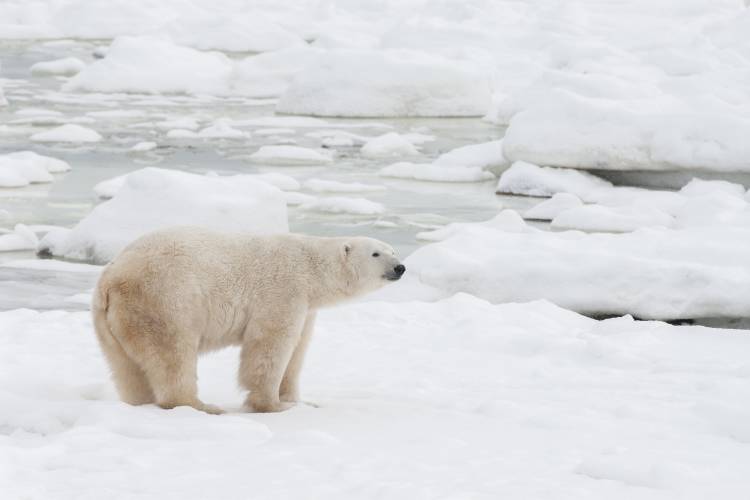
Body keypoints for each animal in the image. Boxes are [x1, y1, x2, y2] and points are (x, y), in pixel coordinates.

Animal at [93, 228, 406, 414]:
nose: (400, 267)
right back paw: (201, 405)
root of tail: (112, 277)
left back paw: (141, 402)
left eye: (393, 250)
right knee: (172, 354)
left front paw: (299, 401)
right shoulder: (283, 290)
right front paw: (273, 405)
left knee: (127, 367)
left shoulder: (306, 308)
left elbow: (297, 351)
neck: (310, 267)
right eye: (376, 253)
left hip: (113, 320)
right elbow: (270, 345)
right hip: (164, 299)